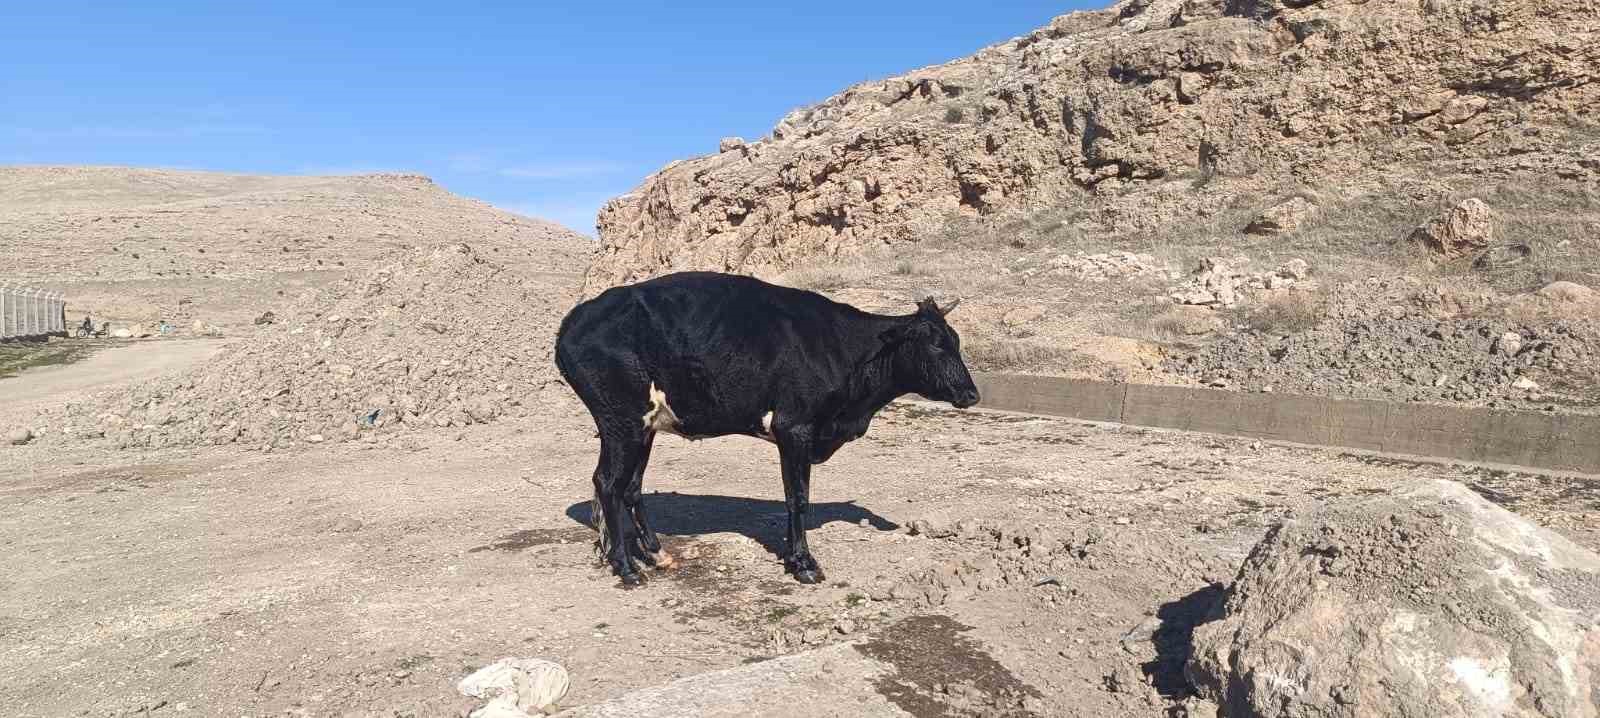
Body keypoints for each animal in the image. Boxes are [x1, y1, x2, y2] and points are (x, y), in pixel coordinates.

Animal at [550, 271, 979, 585]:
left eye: (956, 341)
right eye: (936, 345)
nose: (973, 394)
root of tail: (575, 320)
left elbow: (793, 496)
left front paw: (793, 555)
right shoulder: (796, 429)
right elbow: (798, 498)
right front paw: (804, 564)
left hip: (644, 427)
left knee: (630, 486)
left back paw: (656, 554)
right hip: (621, 422)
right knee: (608, 483)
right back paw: (626, 568)